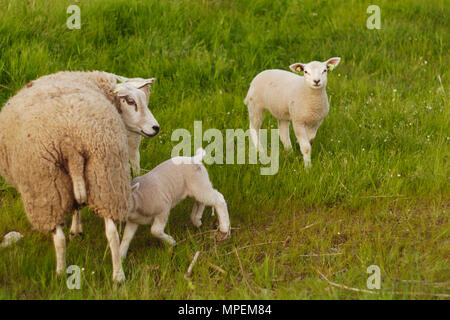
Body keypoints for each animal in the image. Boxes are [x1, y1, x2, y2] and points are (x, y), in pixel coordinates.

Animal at [0, 70, 160, 282]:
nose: (155, 128)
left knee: (59, 239)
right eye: (130, 101)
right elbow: (78, 205)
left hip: (47, 187)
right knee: (112, 233)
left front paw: (74, 230)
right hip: (105, 177)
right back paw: (118, 275)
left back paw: (60, 274)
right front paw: (77, 229)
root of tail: (71, 143)